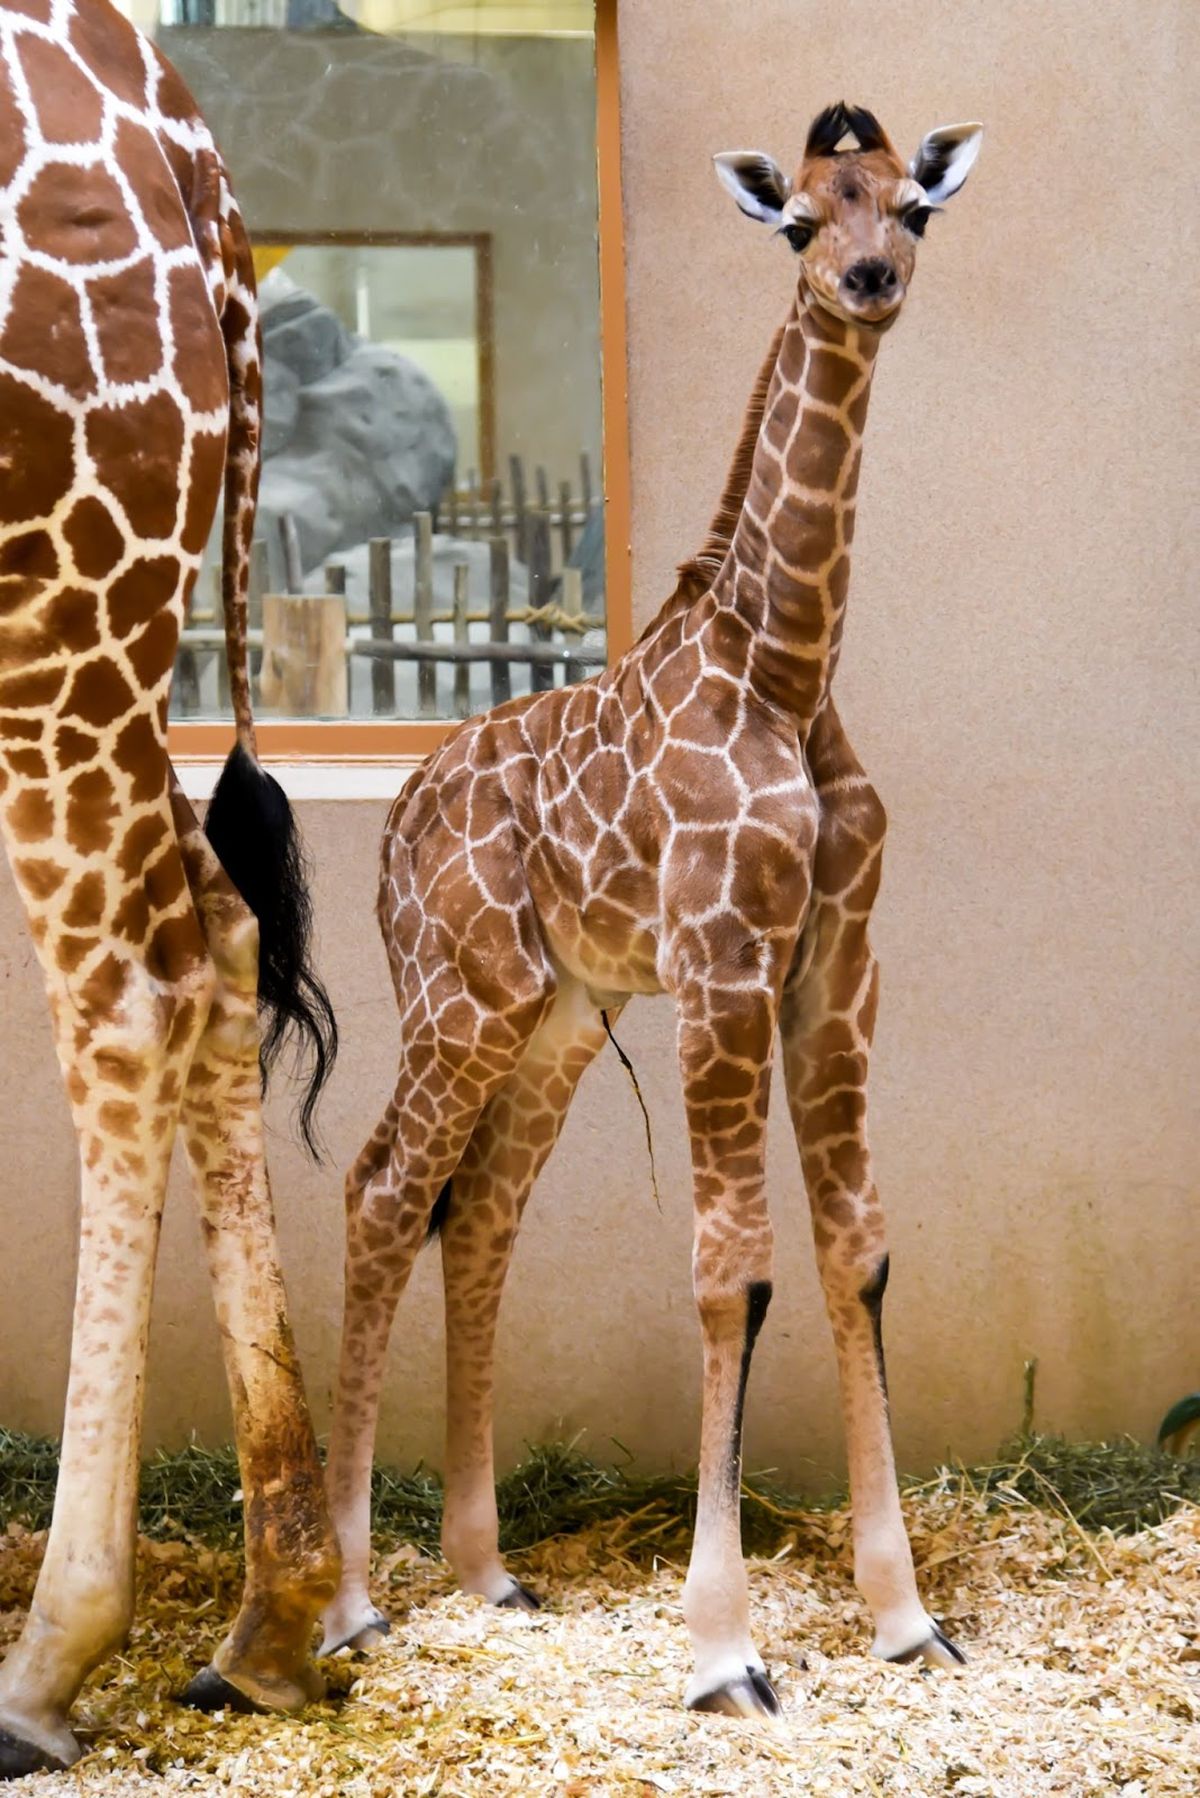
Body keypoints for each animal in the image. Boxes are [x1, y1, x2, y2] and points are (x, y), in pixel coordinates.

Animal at [319, 101, 983, 1717]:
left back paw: (485, 1570)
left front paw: (904, 1617)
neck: (786, 668)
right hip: (461, 993)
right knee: (381, 1189)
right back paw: (350, 1601)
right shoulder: (724, 963)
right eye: (802, 217)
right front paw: (724, 1648)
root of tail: (395, 825)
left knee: (480, 1209)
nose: (868, 281)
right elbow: (730, 1269)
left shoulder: (836, 966)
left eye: (910, 210)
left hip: (560, 1010)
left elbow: (858, 1247)